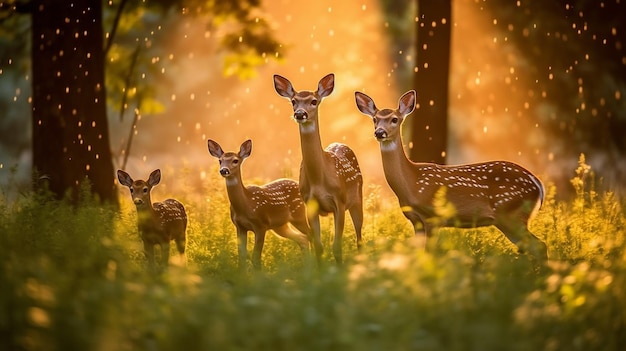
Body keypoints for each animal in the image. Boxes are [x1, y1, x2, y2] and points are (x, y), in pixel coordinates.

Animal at [206, 139, 310, 270]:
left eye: (235, 160)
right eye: (220, 160)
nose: (223, 170)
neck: (246, 205)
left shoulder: (261, 224)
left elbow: (255, 257)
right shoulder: (239, 226)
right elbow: (242, 256)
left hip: (299, 215)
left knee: (311, 235)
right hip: (281, 226)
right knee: (303, 239)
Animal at [272, 74, 364, 266]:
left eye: (314, 101)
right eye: (293, 101)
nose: (300, 114)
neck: (318, 180)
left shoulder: (339, 201)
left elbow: (336, 246)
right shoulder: (309, 204)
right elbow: (319, 247)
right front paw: (320, 271)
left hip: (357, 198)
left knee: (359, 236)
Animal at [354, 91, 548, 262]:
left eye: (394, 119)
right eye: (375, 119)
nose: (379, 132)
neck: (412, 184)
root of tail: (538, 183)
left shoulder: (433, 215)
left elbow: (430, 254)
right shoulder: (415, 220)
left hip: (510, 213)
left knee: (540, 246)